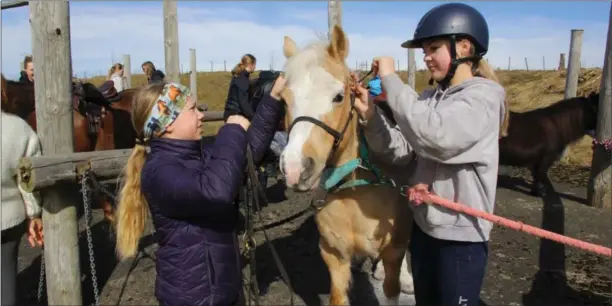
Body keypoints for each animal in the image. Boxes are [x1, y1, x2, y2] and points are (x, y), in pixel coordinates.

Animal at [280, 25, 414, 304]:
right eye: (284, 100)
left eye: (339, 96)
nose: (295, 168)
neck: (355, 186)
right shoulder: (334, 255)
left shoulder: (394, 250)